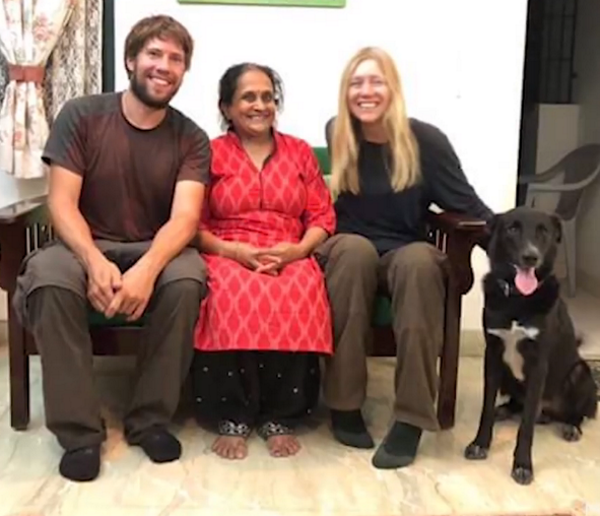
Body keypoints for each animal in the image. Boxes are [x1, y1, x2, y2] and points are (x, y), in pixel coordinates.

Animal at [464, 206, 597, 485]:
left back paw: (572, 426)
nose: (530, 257)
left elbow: (526, 427)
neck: (517, 298)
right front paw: (480, 443)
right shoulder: (492, 355)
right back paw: (506, 410)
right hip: (506, 375)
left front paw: (523, 465)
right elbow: (485, 410)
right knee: (518, 403)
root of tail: (550, 411)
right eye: (512, 229)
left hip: (581, 372)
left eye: (543, 232)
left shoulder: (538, 365)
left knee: (579, 411)